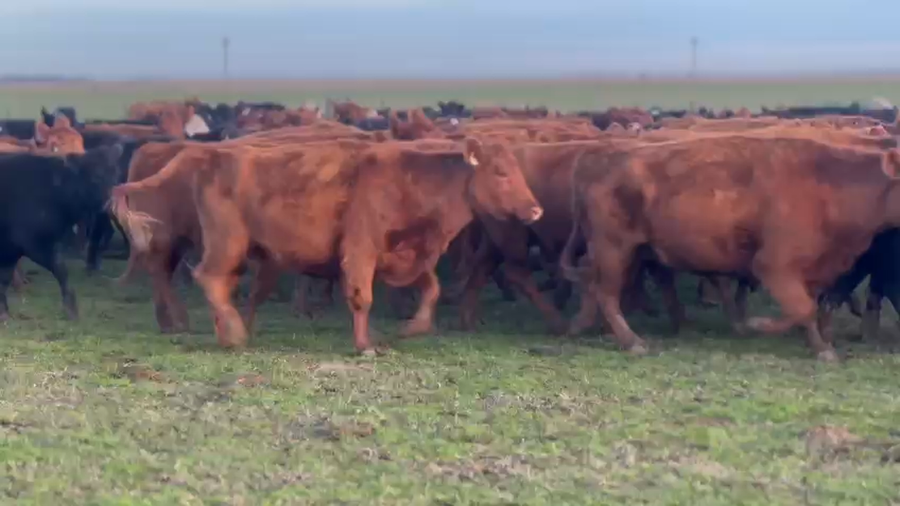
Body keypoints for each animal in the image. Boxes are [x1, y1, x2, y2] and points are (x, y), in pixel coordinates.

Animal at [0, 144, 124, 321]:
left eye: (115, 174)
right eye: (95, 176)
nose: (109, 203)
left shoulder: (13, 249)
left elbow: (4, 278)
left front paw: (3, 311)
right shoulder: (33, 244)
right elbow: (60, 269)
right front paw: (71, 308)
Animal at [110, 137, 543, 354]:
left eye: (518, 170)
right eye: (500, 172)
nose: (536, 210)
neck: (412, 180)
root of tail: (206, 155)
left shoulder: (403, 257)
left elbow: (432, 289)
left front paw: (413, 328)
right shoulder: (360, 252)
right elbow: (362, 298)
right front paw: (364, 345)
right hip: (227, 243)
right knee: (209, 278)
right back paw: (232, 333)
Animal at [560, 134, 900, 362]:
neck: (828, 184)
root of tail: (598, 156)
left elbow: (811, 307)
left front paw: (819, 346)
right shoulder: (773, 265)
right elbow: (803, 308)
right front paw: (756, 324)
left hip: (628, 252)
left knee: (594, 285)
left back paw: (580, 325)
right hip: (613, 249)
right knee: (606, 293)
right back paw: (631, 341)